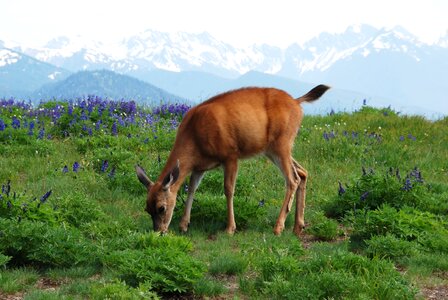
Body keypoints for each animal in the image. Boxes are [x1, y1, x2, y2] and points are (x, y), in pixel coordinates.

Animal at [136, 83, 328, 236]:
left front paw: (230, 228)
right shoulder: (199, 166)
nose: (159, 231)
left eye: (161, 208)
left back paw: (278, 227)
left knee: (292, 179)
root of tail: (297, 102)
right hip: (272, 150)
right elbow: (192, 189)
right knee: (302, 172)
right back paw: (298, 226)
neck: (194, 137)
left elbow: (228, 190)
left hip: (282, 143)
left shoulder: (230, 155)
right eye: (146, 208)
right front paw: (184, 225)